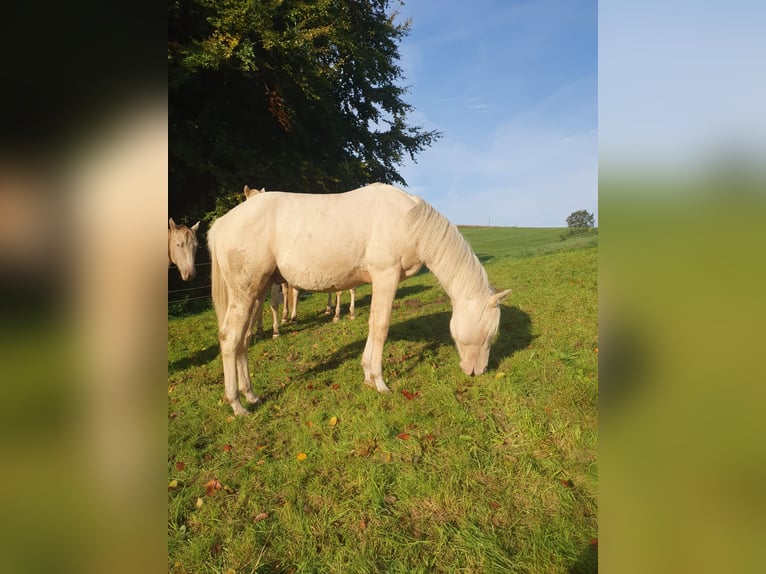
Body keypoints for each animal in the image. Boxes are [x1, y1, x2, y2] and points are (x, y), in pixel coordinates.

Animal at [207, 184, 512, 418]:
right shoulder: (386, 276)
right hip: (246, 292)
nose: (478, 371)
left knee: (243, 340)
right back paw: (237, 405)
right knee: (231, 339)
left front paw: (367, 375)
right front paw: (380, 382)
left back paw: (251, 394)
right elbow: (381, 327)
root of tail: (222, 223)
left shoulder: (379, 281)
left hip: (256, 292)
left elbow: (372, 325)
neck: (408, 222)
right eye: (489, 334)